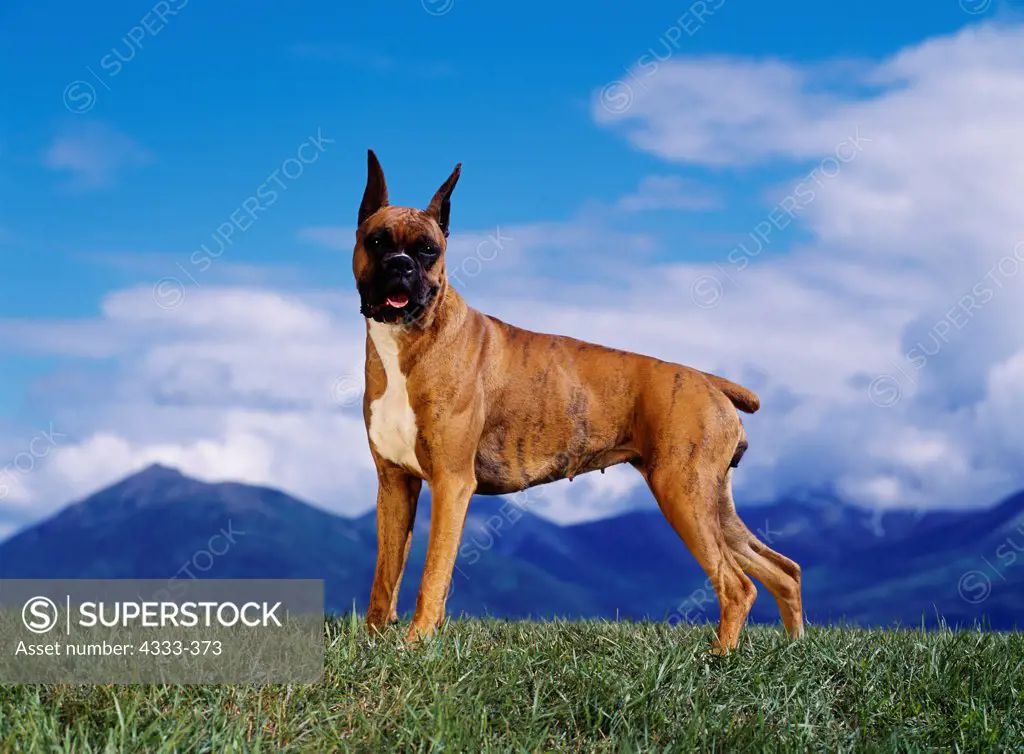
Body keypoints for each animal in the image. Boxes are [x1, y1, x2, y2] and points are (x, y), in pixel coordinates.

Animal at [352, 148, 798, 655]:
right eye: (377, 240)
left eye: (429, 249)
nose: (401, 265)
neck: (410, 340)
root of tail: (707, 380)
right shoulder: (395, 484)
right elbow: (385, 574)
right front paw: (372, 643)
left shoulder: (451, 482)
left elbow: (433, 572)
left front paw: (416, 645)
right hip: (712, 500)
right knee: (783, 571)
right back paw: (795, 647)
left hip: (682, 492)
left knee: (737, 583)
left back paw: (720, 658)